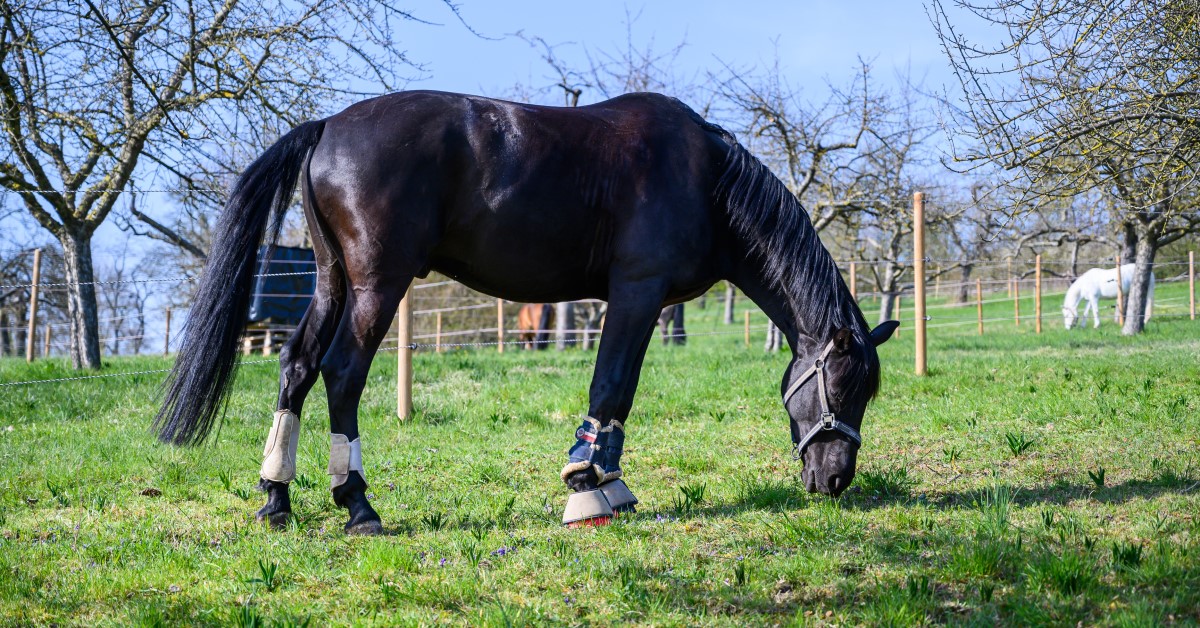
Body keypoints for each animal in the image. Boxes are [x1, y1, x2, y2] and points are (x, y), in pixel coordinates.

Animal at [154, 90, 898, 535]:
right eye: (841, 388)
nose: (836, 479)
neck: (706, 179)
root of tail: (327, 127)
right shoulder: (636, 292)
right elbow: (610, 388)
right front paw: (587, 487)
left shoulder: (639, 301)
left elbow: (619, 397)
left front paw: (610, 483)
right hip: (376, 285)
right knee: (342, 374)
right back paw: (358, 504)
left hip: (333, 282)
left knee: (297, 366)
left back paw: (275, 498)